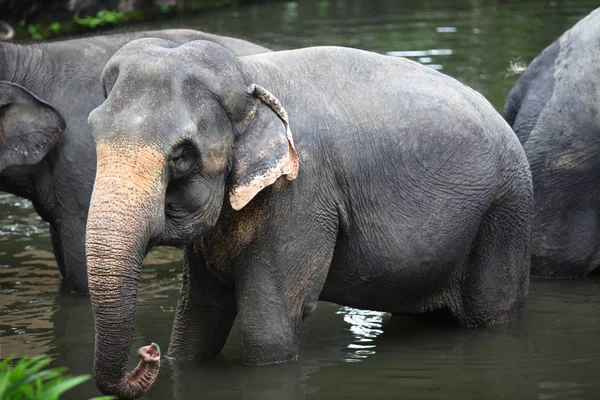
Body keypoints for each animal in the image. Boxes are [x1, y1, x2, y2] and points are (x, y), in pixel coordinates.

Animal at [86, 38, 532, 400]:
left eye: (181, 155)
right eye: (92, 133)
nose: (148, 352)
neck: (249, 76)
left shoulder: (301, 195)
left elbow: (269, 326)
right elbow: (198, 318)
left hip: (504, 213)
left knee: (491, 314)